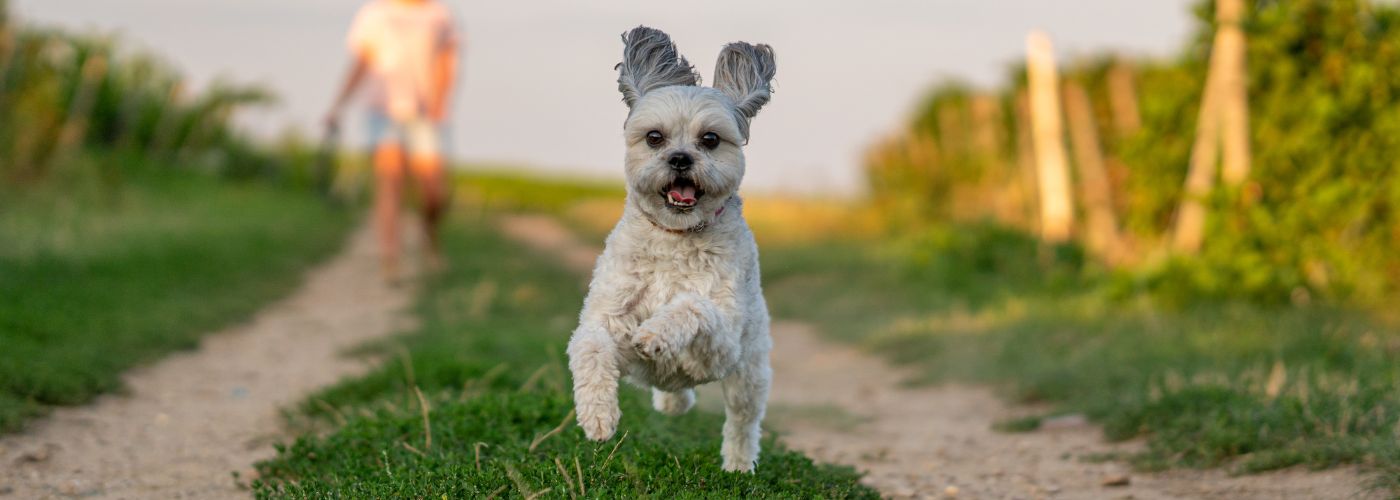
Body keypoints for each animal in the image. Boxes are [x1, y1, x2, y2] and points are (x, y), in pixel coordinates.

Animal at [562, 27, 778, 470]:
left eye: (710, 139)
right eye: (654, 137)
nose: (679, 158)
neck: (675, 238)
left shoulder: (722, 344)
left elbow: (693, 307)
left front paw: (655, 333)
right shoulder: (606, 317)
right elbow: (591, 346)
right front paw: (597, 418)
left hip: (749, 374)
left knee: (743, 423)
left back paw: (739, 465)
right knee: (674, 395)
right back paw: (671, 403)